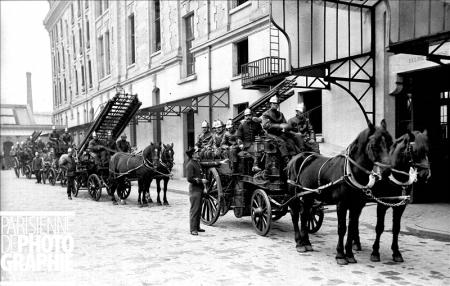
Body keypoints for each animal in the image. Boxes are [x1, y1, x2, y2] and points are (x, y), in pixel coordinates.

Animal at [286, 119, 392, 264]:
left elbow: (352, 228)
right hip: (295, 194)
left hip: (308, 196)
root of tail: (298, 156)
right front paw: (340, 255)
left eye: (390, 143)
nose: (387, 171)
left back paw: (306, 242)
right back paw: (299, 243)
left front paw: (350, 254)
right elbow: (342, 228)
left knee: (305, 214)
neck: (350, 172)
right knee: (295, 214)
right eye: (374, 145)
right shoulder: (341, 204)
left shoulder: (356, 206)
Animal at [366, 128, 432, 262]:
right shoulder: (381, 205)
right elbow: (379, 227)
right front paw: (375, 252)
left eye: (427, 150)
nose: (425, 174)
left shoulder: (400, 206)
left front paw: (396, 252)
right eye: (415, 151)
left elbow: (396, 228)